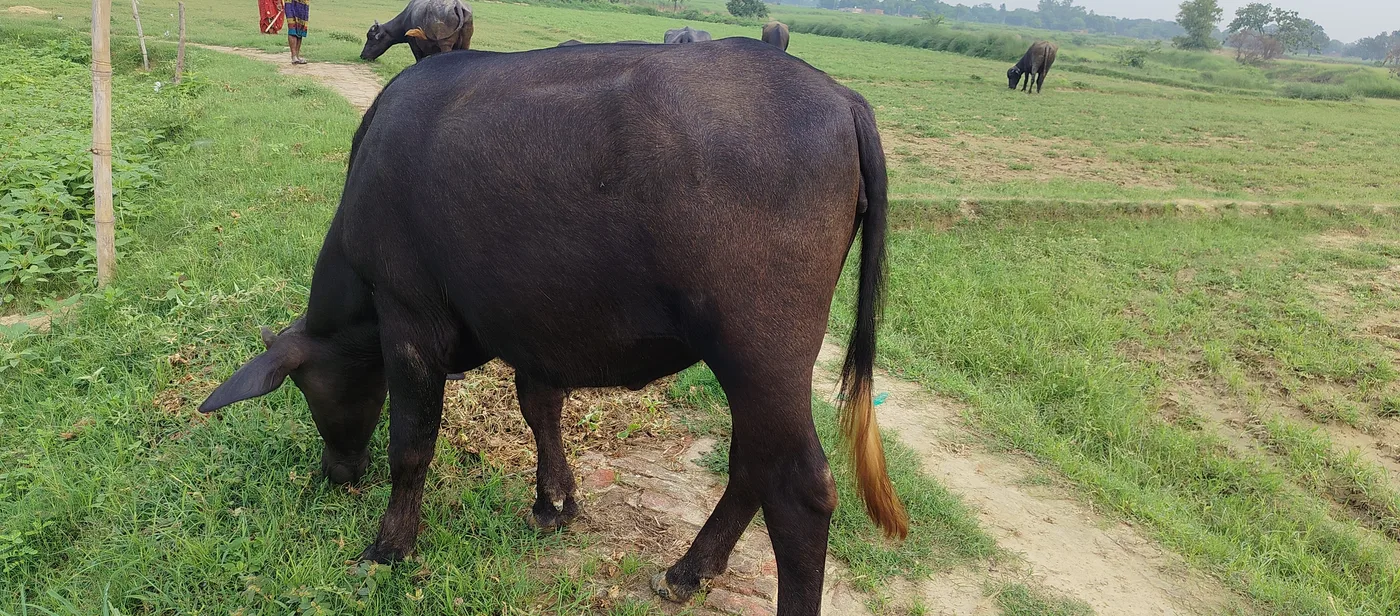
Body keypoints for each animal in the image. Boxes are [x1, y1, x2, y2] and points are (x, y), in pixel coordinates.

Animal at [199, 38, 905, 615]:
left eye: (310, 391)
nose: (337, 471)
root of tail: (843, 100)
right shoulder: (531, 328)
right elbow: (540, 408)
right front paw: (554, 503)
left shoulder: (408, 322)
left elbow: (412, 444)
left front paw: (388, 548)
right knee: (751, 464)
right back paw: (687, 570)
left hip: (759, 354)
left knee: (799, 489)